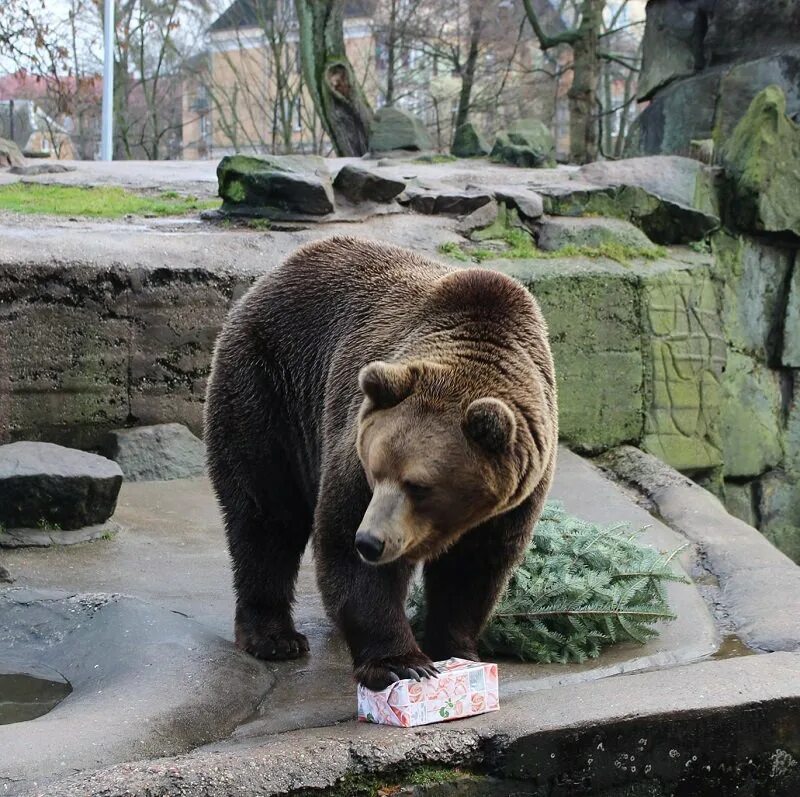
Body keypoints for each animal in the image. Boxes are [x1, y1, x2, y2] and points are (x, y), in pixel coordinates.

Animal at [205, 236, 556, 692]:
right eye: (376, 473)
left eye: (419, 485)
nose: (370, 541)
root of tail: (271, 275)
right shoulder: (353, 442)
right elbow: (344, 544)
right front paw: (401, 662)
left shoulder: (516, 496)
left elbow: (475, 568)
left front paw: (457, 649)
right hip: (268, 390)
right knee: (267, 515)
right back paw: (274, 636)